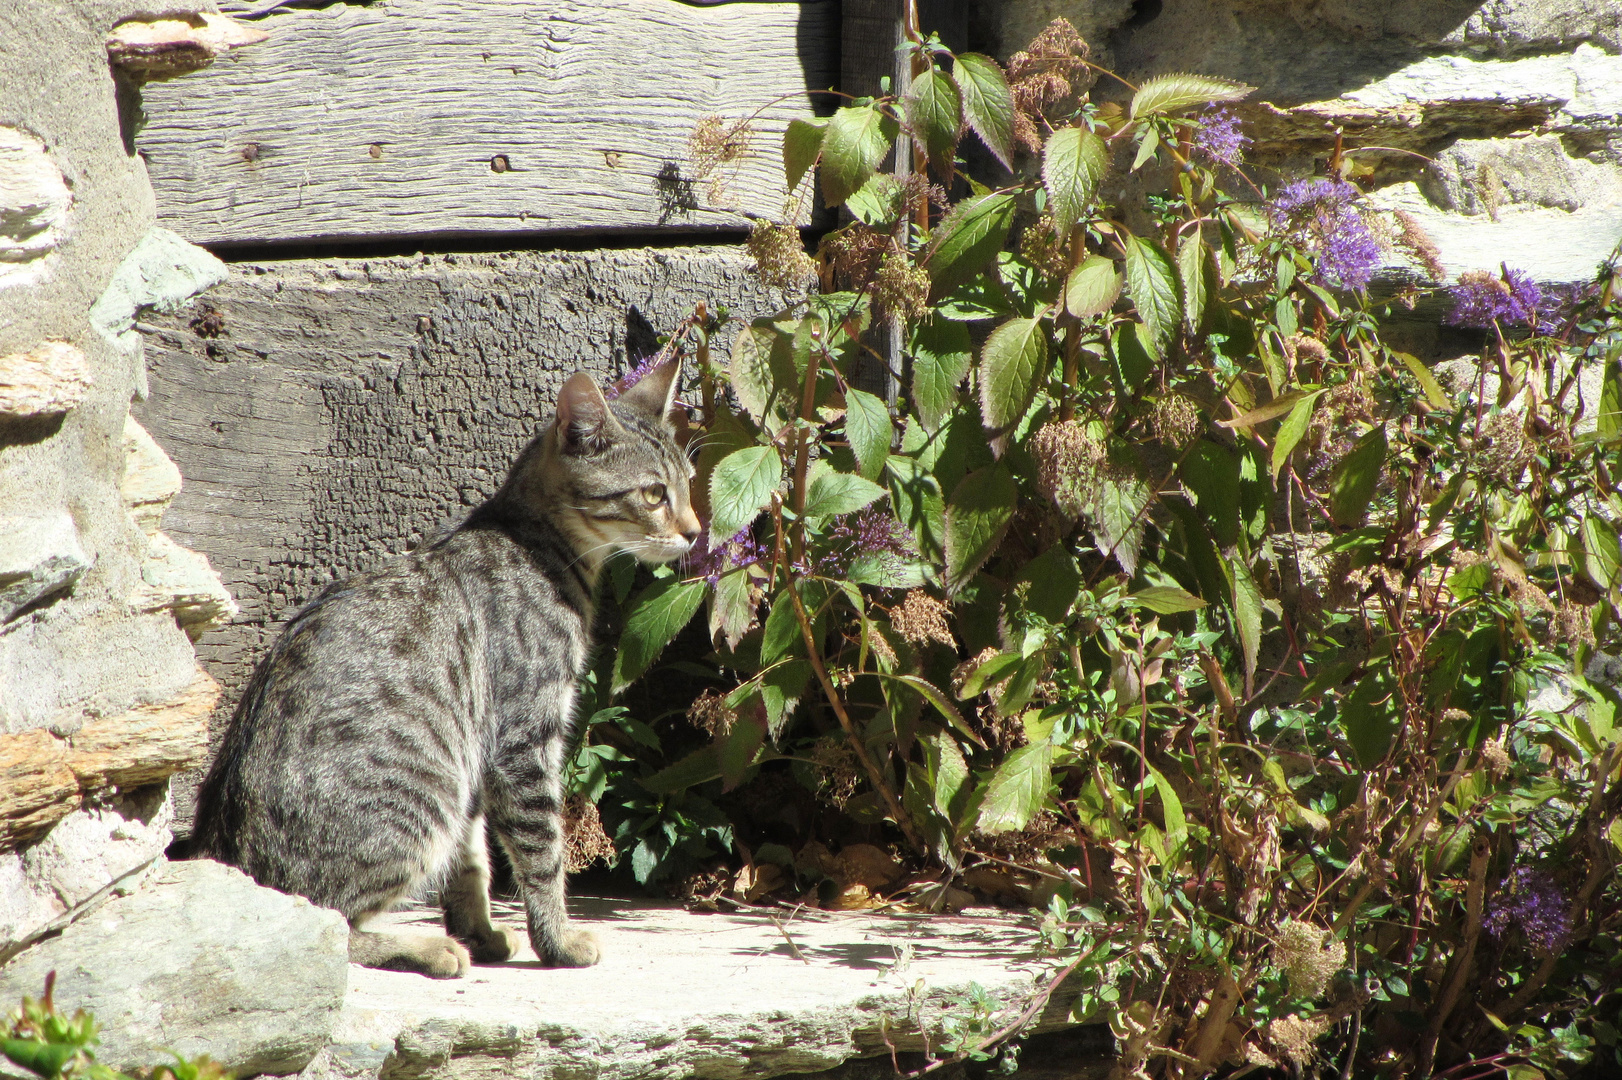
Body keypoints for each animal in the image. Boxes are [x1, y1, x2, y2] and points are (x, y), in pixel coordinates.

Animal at [191, 356, 697, 972]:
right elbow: (543, 852)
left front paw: (481, 930)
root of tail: (225, 852)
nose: (696, 532)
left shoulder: (477, 758)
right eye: (653, 493)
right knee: (327, 924)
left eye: (688, 485)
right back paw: (427, 947)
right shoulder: (523, 739)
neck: (539, 545)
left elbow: (472, 859)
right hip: (420, 797)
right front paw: (556, 939)